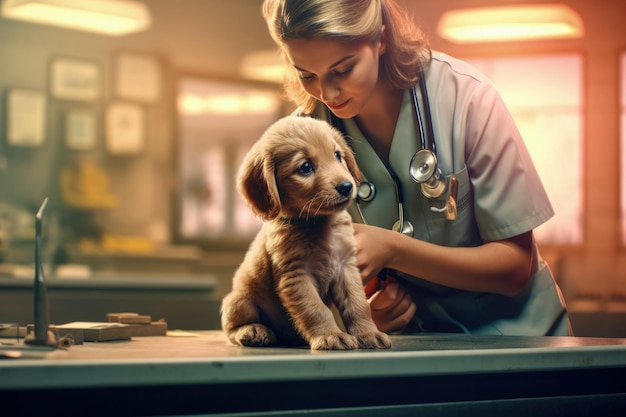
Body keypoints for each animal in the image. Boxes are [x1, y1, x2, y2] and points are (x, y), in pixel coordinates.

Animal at [219, 115, 390, 350]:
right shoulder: (296, 275)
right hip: (238, 300)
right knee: (231, 329)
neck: (318, 224)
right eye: (305, 167)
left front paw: (368, 333)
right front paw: (330, 336)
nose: (346, 186)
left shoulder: (346, 267)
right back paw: (252, 330)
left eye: (337, 155)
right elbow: (316, 309)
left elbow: (358, 304)